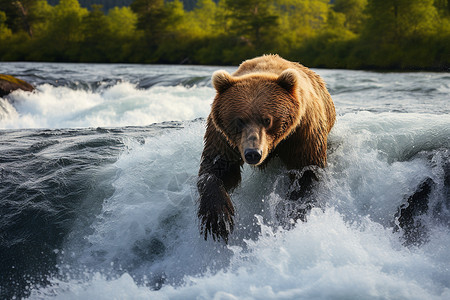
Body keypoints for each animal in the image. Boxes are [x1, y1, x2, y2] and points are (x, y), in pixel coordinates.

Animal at [199, 54, 336, 241]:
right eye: (239, 120)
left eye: (267, 120)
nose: (253, 153)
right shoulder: (223, 137)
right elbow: (218, 167)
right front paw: (218, 219)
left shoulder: (302, 131)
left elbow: (306, 170)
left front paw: (293, 213)